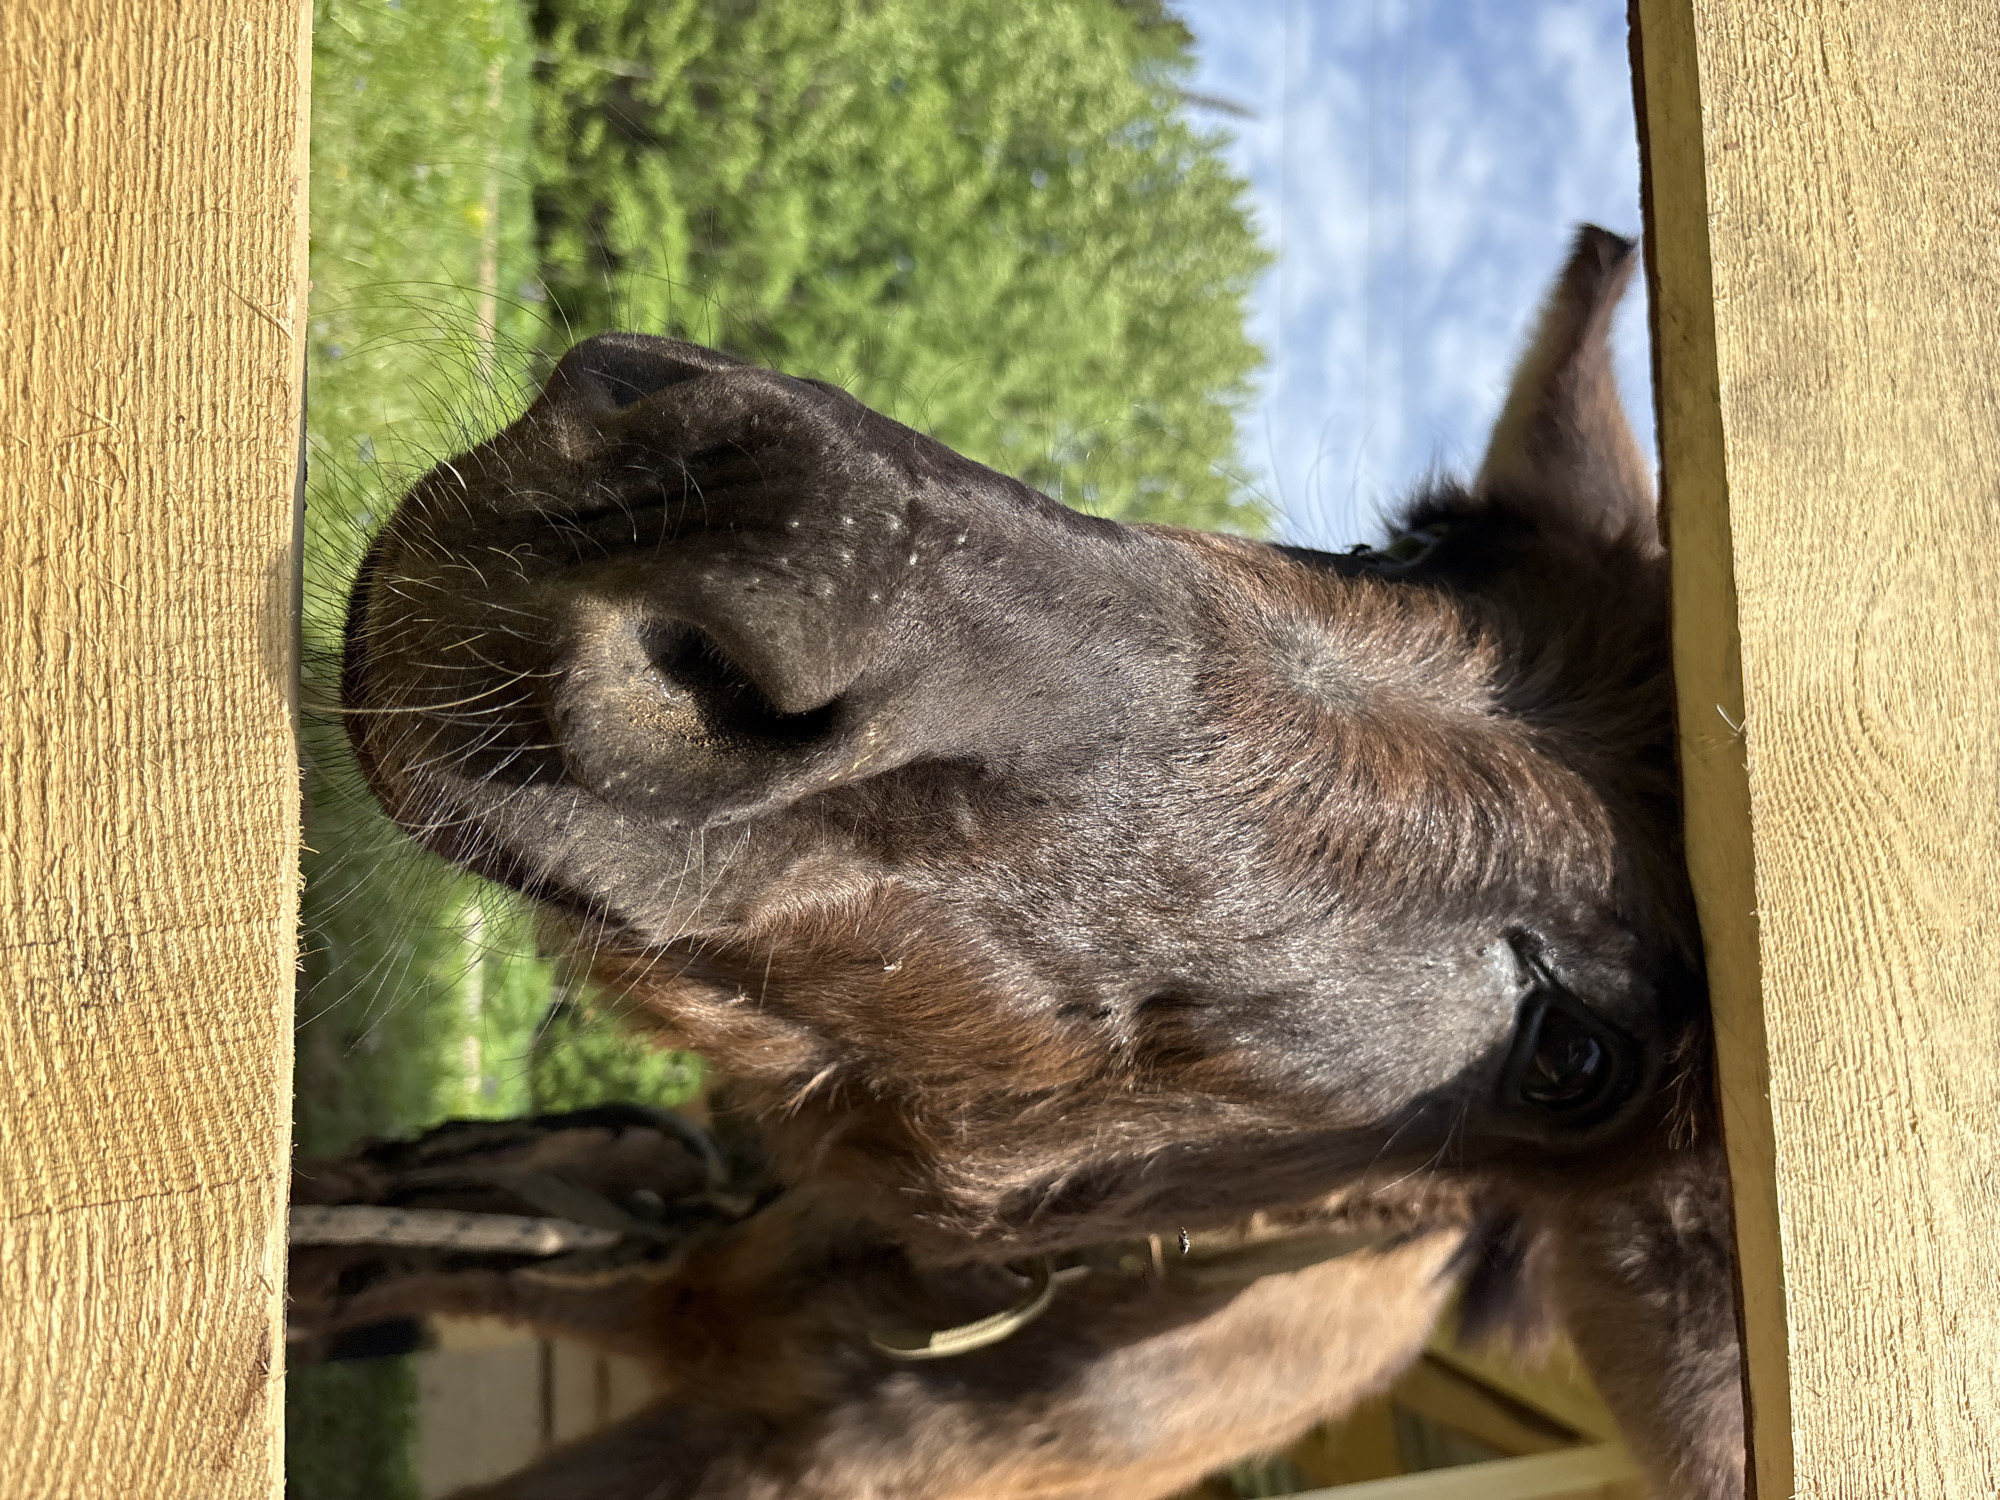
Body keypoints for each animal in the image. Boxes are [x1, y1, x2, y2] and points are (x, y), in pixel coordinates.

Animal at [302, 225, 1745, 1498]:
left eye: (1571, 1060)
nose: (778, 533)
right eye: (1409, 544)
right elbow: (381, 1246)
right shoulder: (647, 1252)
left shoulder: (759, 1451)